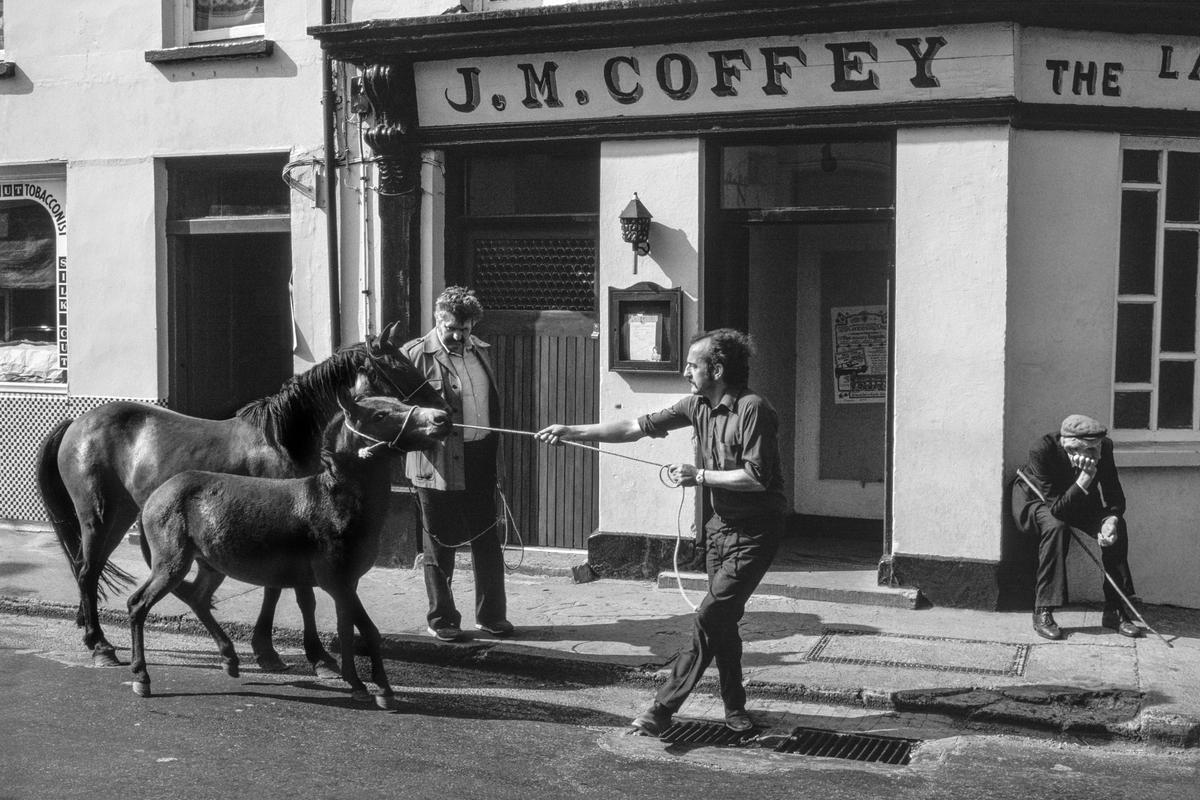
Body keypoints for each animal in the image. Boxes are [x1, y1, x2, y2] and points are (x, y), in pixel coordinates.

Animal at [35, 321, 446, 671]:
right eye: (399, 369)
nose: (443, 413)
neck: (282, 441)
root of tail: (77, 422)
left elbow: (280, 591)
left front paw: (271, 650)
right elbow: (295, 594)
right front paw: (304, 654)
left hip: (120, 515)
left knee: (87, 568)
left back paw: (91, 630)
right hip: (98, 516)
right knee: (87, 570)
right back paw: (100, 643)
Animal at [129, 371, 446, 705]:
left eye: (398, 401)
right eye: (380, 415)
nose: (441, 418)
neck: (335, 500)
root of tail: (155, 496)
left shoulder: (348, 582)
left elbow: (346, 628)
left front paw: (355, 683)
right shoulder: (335, 580)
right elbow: (367, 630)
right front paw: (382, 689)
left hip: (210, 563)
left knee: (198, 598)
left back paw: (230, 659)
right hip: (172, 562)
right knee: (139, 604)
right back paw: (142, 677)